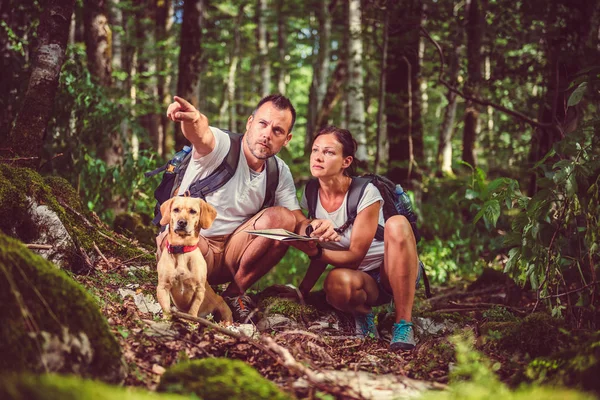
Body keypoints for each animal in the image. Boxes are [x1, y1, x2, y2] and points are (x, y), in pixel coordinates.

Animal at [156, 195, 233, 324]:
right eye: (176, 209)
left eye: (193, 211)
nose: (182, 222)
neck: (181, 249)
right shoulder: (162, 286)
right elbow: (166, 307)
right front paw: (166, 319)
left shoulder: (199, 289)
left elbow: (193, 309)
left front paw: (189, 320)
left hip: (223, 308)